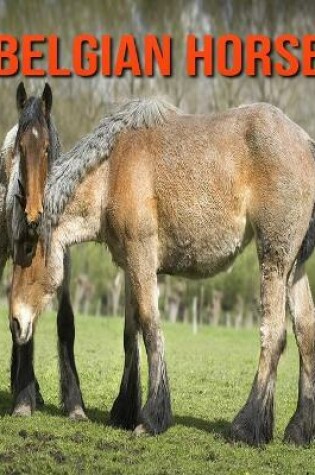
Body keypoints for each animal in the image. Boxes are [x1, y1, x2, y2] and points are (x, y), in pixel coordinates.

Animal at [0, 83, 86, 418]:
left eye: (47, 148)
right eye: (21, 149)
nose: (34, 213)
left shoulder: (65, 263)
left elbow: (66, 322)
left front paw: (75, 404)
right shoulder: (20, 255)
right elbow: (21, 317)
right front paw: (24, 400)